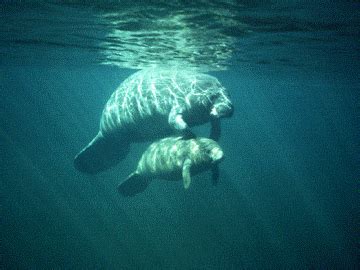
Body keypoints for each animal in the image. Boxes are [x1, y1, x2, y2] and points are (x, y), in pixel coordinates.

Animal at [75, 67, 233, 173]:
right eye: (212, 96)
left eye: (228, 92)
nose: (230, 109)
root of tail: (101, 132)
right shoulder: (178, 104)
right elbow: (175, 122)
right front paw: (191, 136)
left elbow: (216, 124)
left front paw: (214, 137)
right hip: (109, 131)